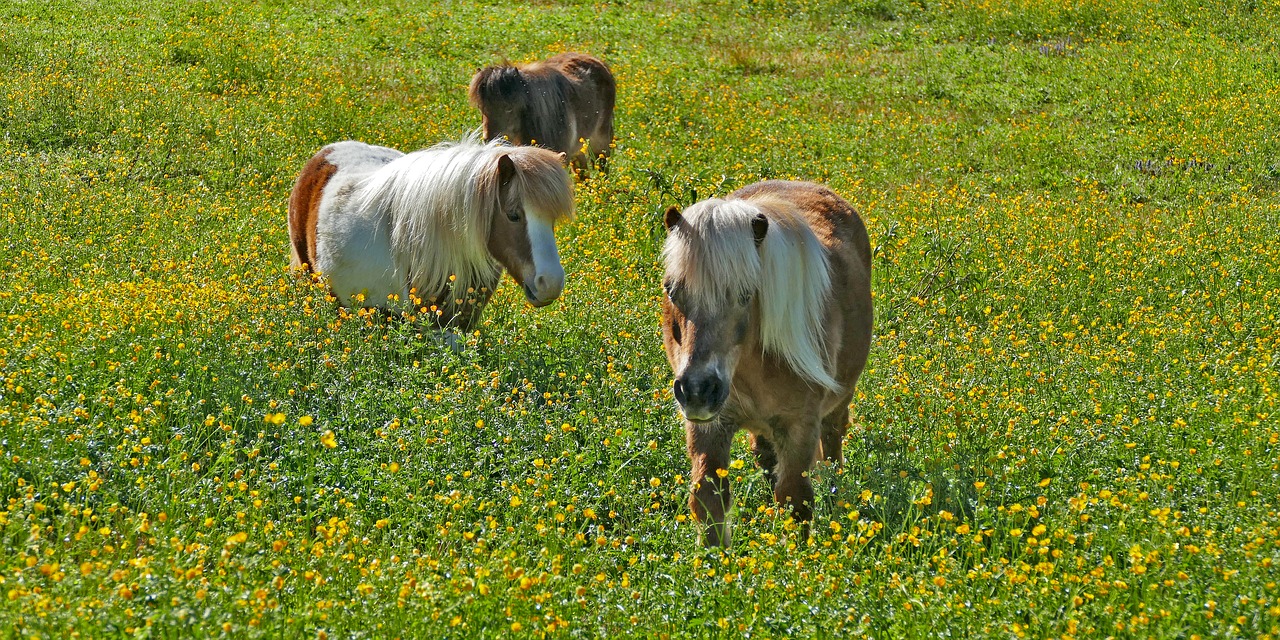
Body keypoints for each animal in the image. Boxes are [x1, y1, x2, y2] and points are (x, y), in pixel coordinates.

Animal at [660, 179, 870, 545]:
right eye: (671, 290)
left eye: (746, 295)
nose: (698, 390)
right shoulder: (709, 425)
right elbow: (709, 498)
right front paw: (715, 558)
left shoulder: (800, 425)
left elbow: (795, 498)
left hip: (838, 402)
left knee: (832, 439)